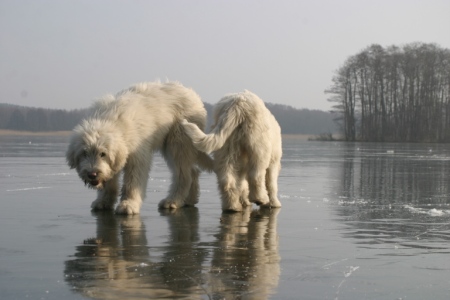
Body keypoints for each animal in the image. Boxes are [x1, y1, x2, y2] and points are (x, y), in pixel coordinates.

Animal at [66, 81, 213, 214]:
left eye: (103, 154)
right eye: (84, 153)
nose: (92, 174)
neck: (109, 121)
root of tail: (194, 95)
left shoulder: (137, 155)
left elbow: (133, 181)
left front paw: (128, 205)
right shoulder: (115, 161)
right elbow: (109, 182)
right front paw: (103, 201)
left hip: (178, 141)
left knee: (183, 174)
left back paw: (172, 201)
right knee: (193, 171)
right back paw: (190, 200)